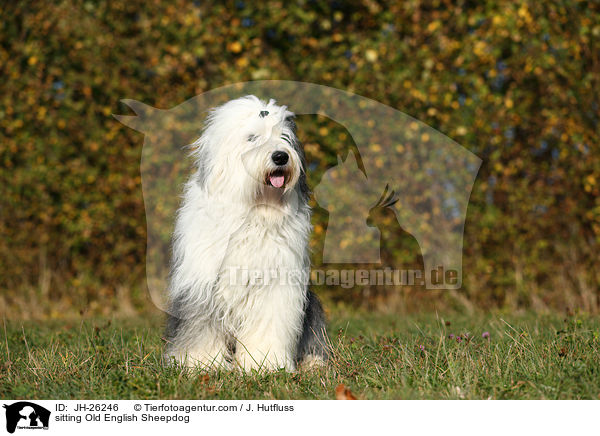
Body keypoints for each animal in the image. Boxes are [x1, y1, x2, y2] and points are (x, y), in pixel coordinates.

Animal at [165, 95, 328, 372]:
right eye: (252, 138)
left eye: (284, 137)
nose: (280, 157)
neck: (253, 210)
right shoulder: (202, 282)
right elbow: (202, 328)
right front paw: (202, 363)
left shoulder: (275, 283)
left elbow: (268, 325)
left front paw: (265, 363)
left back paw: (313, 363)